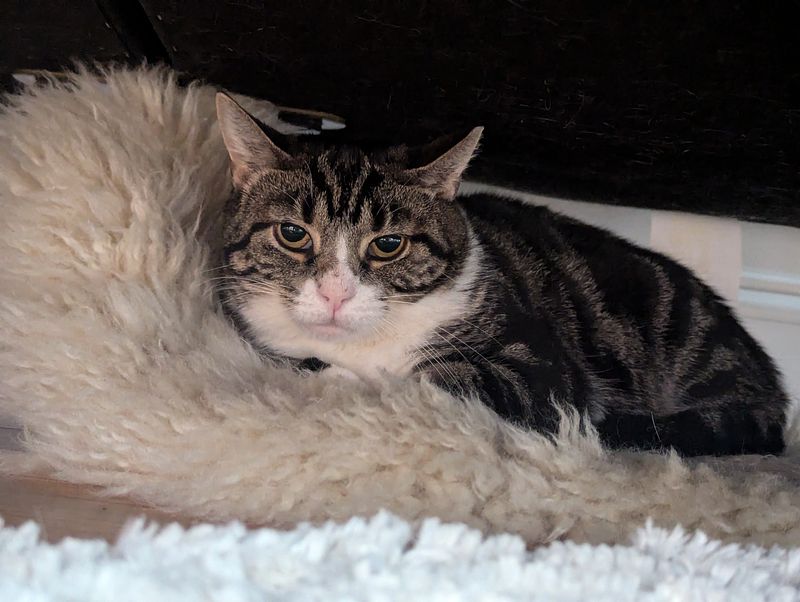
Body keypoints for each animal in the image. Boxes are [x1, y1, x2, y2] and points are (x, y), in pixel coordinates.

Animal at [216, 92, 792, 454]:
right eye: (293, 234)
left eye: (389, 244)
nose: (336, 294)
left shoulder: (542, 373)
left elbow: (435, 375)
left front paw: (351, 378)